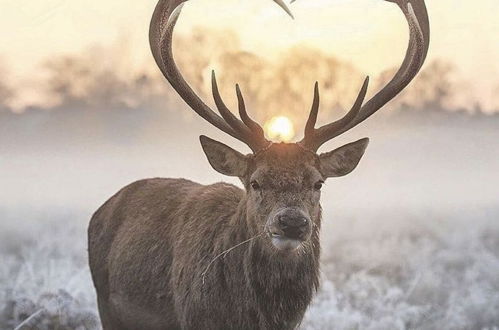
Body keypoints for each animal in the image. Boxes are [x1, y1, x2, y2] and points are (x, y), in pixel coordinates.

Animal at [89, 0, 430, 328]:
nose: (291, 222)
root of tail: (103, 208)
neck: (251, 316)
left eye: (318, 182)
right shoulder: (192, 317)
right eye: (255, 182)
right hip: (105, 302)